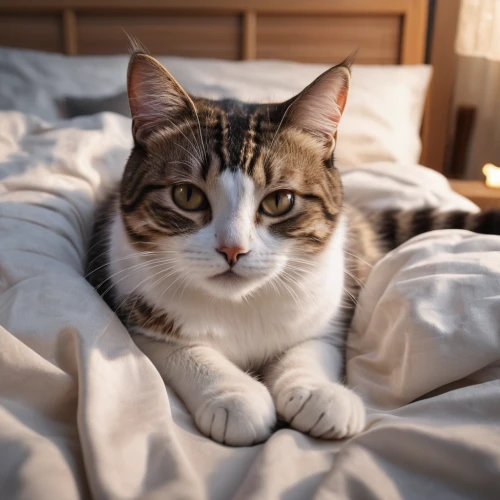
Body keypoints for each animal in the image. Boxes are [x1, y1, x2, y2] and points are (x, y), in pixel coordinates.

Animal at [86, 46, 500, 446]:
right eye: (186, 196)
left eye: (279, 201)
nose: (233, 249)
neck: (240, 307)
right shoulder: (129, 298)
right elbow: (177, 348)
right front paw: (235, 395)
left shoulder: (330, 305)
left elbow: (310, 346)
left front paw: (318, 393)